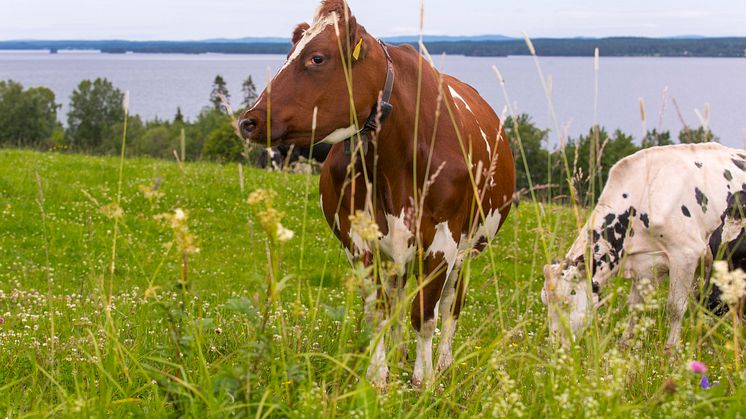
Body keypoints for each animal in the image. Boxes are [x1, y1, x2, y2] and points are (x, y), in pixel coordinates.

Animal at [235, 0, 516, 388]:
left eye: (317, 58)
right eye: (289, 54)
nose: (248, 121)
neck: (394, 163)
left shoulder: (442, 243)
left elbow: (424, 315)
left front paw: (423, 380)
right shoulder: (358, 241)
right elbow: (378, 312)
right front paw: (378, 377)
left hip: (468, 250)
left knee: (450, 305)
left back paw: (444, 363)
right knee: (397, 298)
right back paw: (399, 357)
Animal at [540, 144, 744, 352]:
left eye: (566, 302)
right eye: (545, 300)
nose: (555, 346)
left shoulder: (685, 255)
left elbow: (675, 308)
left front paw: (671, 350)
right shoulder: (644, 264)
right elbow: (635, 306)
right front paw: (625, 344)